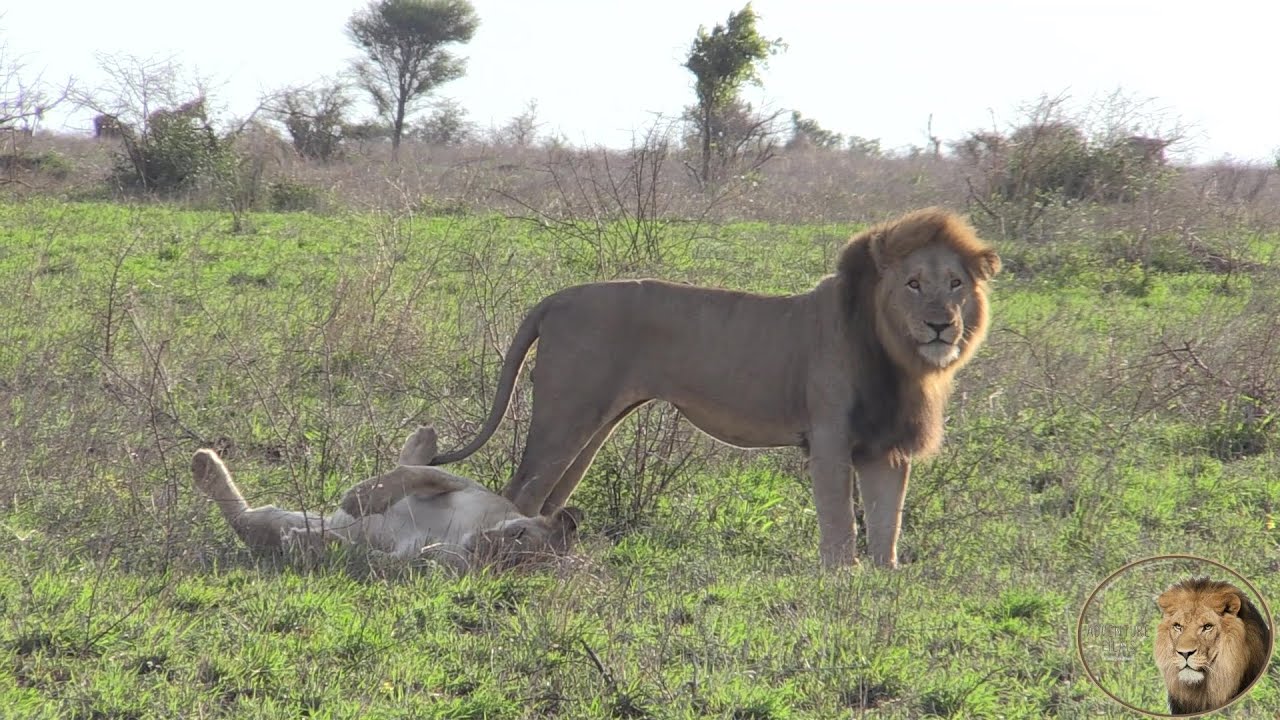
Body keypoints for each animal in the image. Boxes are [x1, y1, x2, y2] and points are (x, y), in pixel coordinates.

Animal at [190, 425, 582, 571]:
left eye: (510, 564)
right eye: (519, 534)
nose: (481, 547)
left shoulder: (418, 560)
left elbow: (370, 558)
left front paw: (311, 545)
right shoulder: (465, 486)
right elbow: (415, 472)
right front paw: (356, 499)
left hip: (278, 521)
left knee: (246, 523)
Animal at [427, 207, 1000, 568]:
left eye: (955, 284)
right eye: (913, 284)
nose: (941, 326)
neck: (901, 359)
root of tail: (556, 297)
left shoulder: (886, 448)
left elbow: (887, 526)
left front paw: (882, 585)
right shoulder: (830, 436)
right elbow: (840, 522)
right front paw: (841, 580)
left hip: (595, 423)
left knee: (547, 497)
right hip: (567, 413)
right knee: (520, 490)